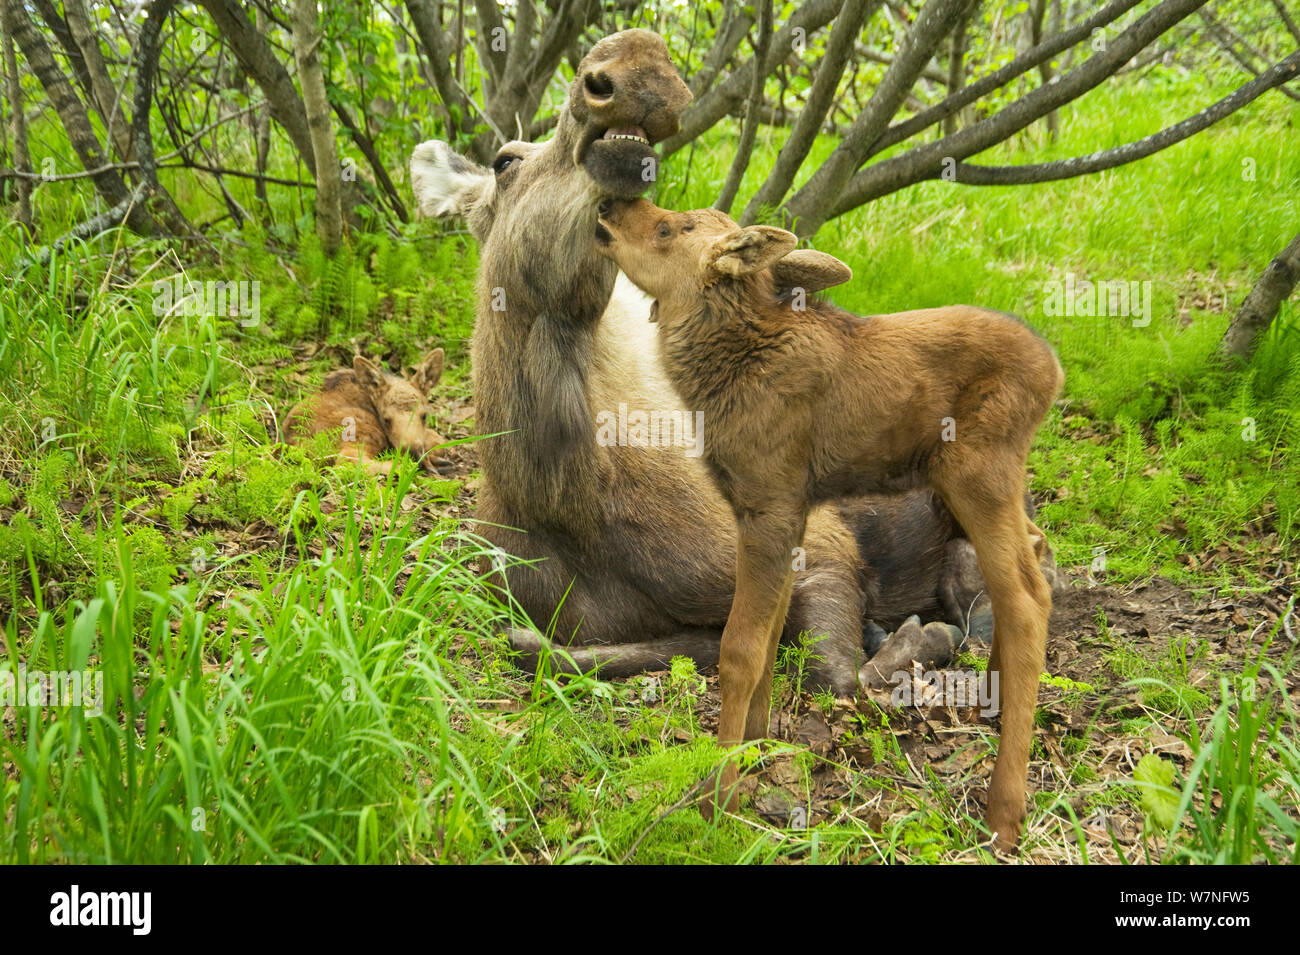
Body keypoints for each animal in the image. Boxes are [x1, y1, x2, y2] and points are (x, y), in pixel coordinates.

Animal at [286, 353, 452, 475]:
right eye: (386, 420)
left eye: (424, 416)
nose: (411, 451)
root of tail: (297, 445)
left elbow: (440, 440)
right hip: (362, 430)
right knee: (348, 461)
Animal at [598, 200, 1066, 852]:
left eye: (670, 229)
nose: (608, 206)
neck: (715, 376)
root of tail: (1055, 371)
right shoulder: (786, 512)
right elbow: (771, 638)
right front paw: (756, 750)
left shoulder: (767, 504)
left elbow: (739, 648)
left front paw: (717, 799)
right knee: (1033, 559)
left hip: (978, 475)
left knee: (1027, 598)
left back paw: (1003, 812)